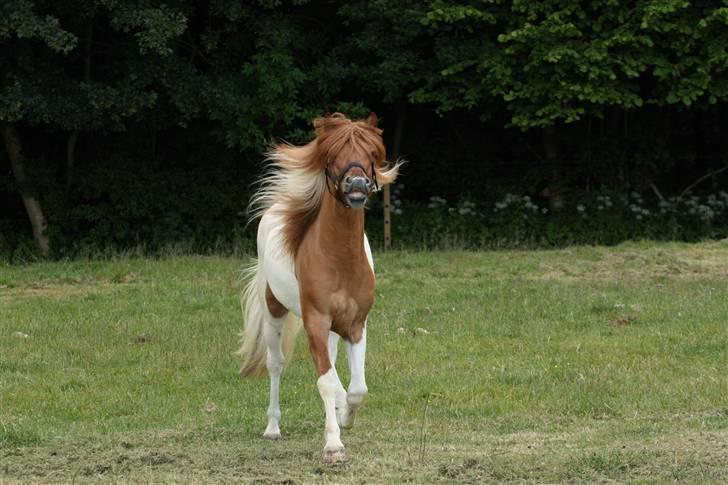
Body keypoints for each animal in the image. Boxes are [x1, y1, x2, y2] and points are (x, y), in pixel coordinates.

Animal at [237, 110, 398, 462]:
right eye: (333, 155)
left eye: (371, 153)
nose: (356, 185)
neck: (340, 260)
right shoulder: (315, 321)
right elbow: (325, 381)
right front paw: (334, 445)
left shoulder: (355, 325)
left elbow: (358, 389)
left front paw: (345, 419)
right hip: (274, 311)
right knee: (276, 364)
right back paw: (272, 428)